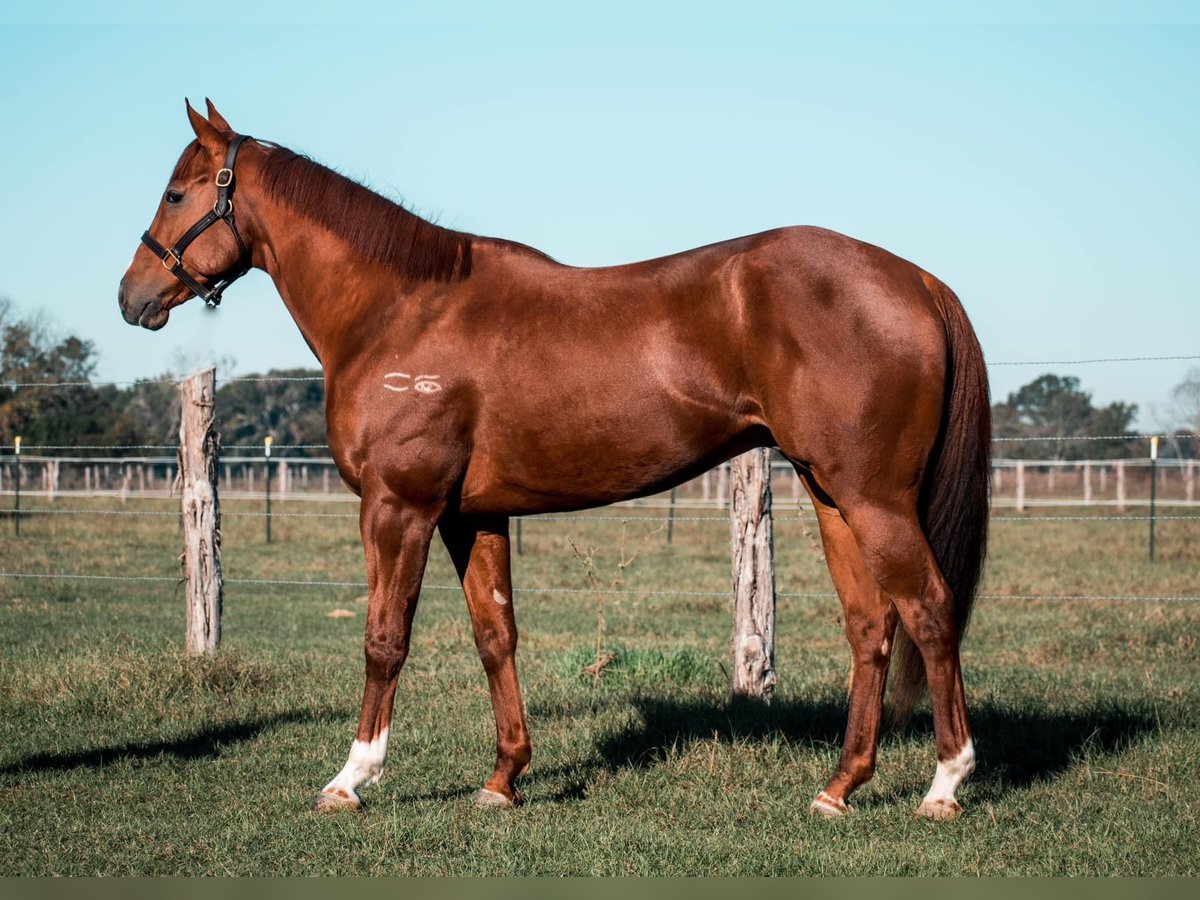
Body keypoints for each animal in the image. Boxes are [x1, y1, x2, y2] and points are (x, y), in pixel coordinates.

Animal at [119, 102, 993, 820]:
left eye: (175, 193)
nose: (132, 298)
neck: (401, 309)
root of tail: (916, 279)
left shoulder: (399, 507)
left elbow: (384, 637)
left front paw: (352, 778)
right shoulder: (471, 516)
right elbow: (495, 635)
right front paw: (504, 779)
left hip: (875, 500)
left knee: (930, 610)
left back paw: (945, 785)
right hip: (832, 495)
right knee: (871, 625)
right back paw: (840, 787)